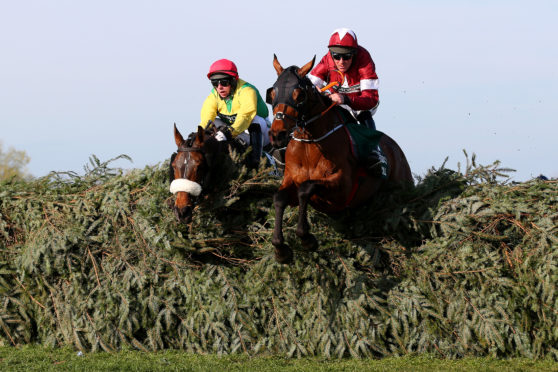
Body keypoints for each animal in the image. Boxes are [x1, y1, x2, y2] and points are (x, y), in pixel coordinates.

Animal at [270, 56, 414, 264]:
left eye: (299, 95)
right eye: (273, 92)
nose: (277, 134)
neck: (309, 144)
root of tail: (398, 151)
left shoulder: (342, 187)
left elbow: (306, 189)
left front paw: (306, 238)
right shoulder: (291, 179)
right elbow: (280, 197)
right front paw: (280, 248)